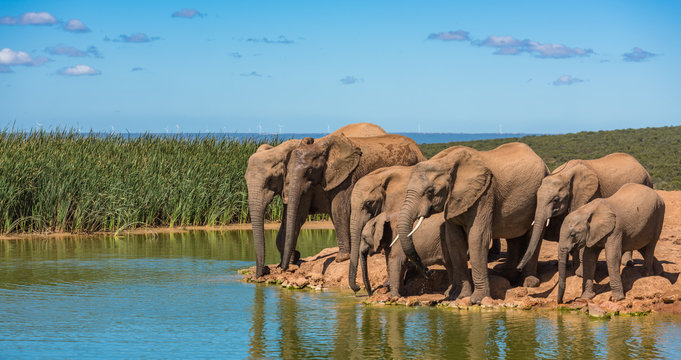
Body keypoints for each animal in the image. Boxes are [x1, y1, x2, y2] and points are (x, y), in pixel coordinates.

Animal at [244, 122, 386, 278]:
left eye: (270, 180)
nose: (264, 270)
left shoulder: (308, 186)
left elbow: (298, 217)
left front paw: (291, 260)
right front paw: (292, 258)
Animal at [278, 134, 422, 272]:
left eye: (309, 171)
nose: (285, 268)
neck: (321, 145)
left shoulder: (347, 176)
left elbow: (338, 209)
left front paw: (341, 258)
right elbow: (308, 213)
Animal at [398, 142, 548, 302]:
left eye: (430, 191)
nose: (427, 271)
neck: (446, 161)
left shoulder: (485, 193)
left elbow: (477, 238)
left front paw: (478, 300)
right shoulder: (453, 201)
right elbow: (454, 241)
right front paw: (458, 296)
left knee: (533, 234)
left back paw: (529, 282)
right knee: (513, 237)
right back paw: (510, 277)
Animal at [516, 152, 652, 276]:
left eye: (556, 199)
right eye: (536, 197)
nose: (518, 268)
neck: (565, 173)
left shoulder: (592, 194)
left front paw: (579, 273)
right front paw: (570, 268)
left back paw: (628, 263)